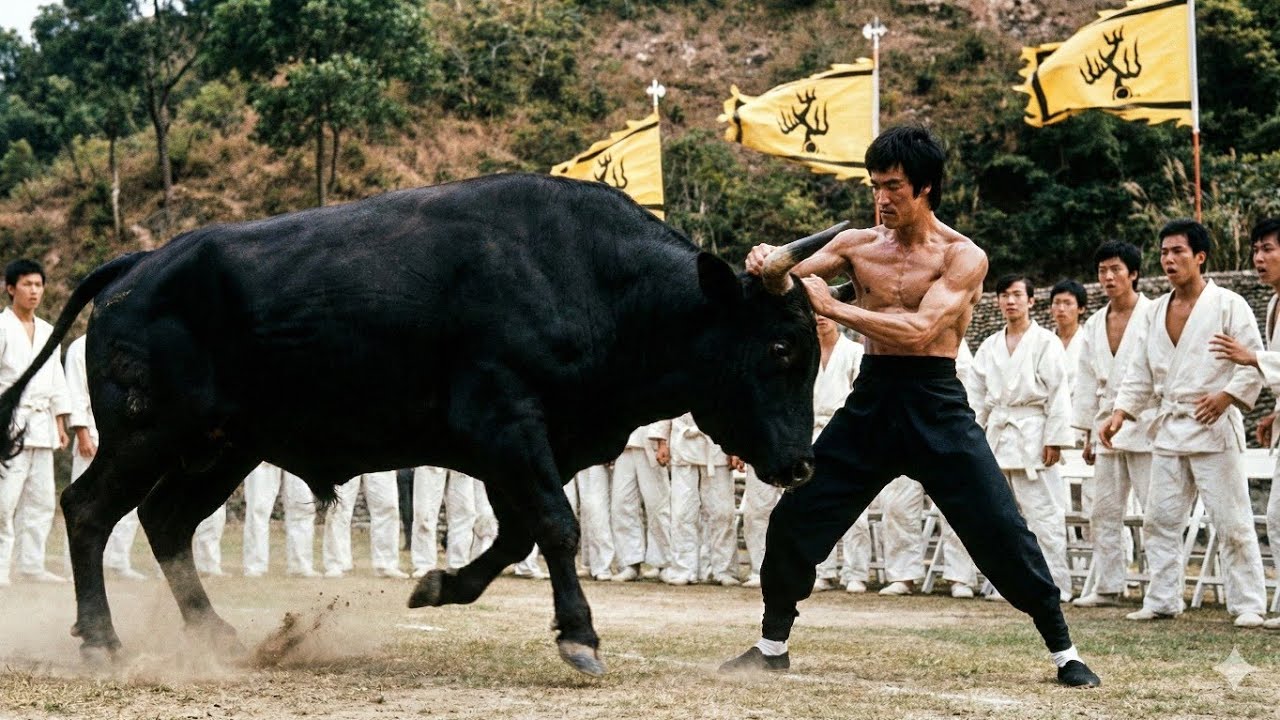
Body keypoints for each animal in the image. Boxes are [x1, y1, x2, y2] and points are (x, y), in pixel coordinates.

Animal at [0, 173, 842, 676]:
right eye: (781, 347)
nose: (802, 465)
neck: (590, 278)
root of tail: (137, 265)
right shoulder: (508, 426)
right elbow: (556, 526)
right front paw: (579, 635)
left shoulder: (527, 448)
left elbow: (519, 535)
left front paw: (438, 586)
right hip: (147, 436)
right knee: (87, 511)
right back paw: (102, 640)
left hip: (220, 449)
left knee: (164, 523)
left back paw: (218, 636)